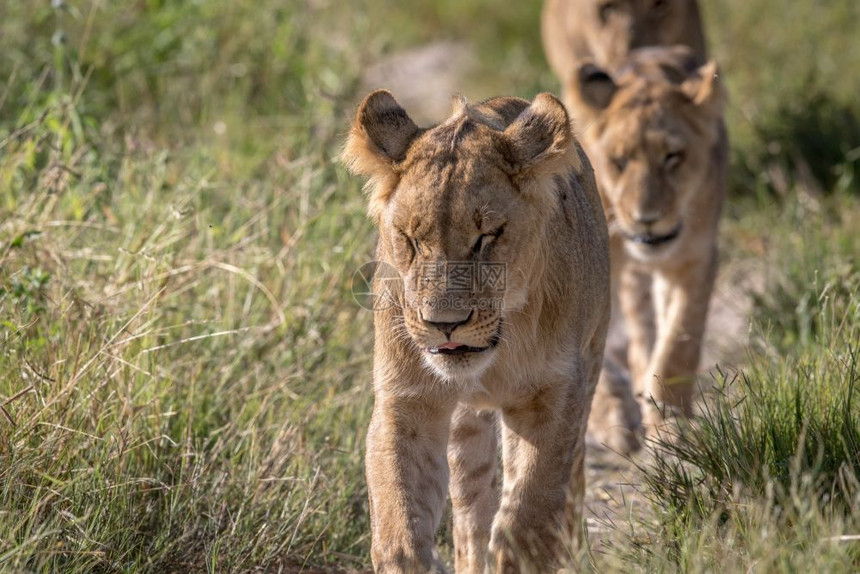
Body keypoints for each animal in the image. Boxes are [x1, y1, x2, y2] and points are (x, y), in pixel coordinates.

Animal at [342, 89, 612, 572]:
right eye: (410, 239)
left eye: (487, 236)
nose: (444, 324)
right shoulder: (408, 398)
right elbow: (399, 514)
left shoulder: (553, 395)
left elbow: (529, 512)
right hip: (467, 430)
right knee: (471, 514)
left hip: (593, 359)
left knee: (571, 478)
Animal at [568, 46, 728, 450]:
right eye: (619, 161)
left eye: (673, 157)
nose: (647, 219)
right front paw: (609, 419)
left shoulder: (695, 259)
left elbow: (678, 342)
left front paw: (670, 421)